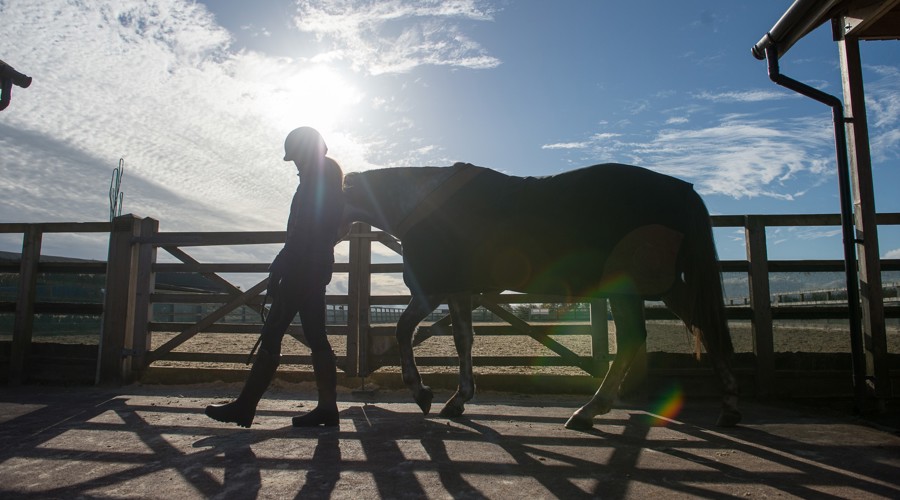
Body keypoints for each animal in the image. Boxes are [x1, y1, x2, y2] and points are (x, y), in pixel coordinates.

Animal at [342, 162, 740, 428]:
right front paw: (459, 399)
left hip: (634, 285)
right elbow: (463, 339)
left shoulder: (433, 288)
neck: (420, 201)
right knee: (674, 329)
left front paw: (421, 392)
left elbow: (403, 330)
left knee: (675, 329)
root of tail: (682, 190)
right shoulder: (460, 290)